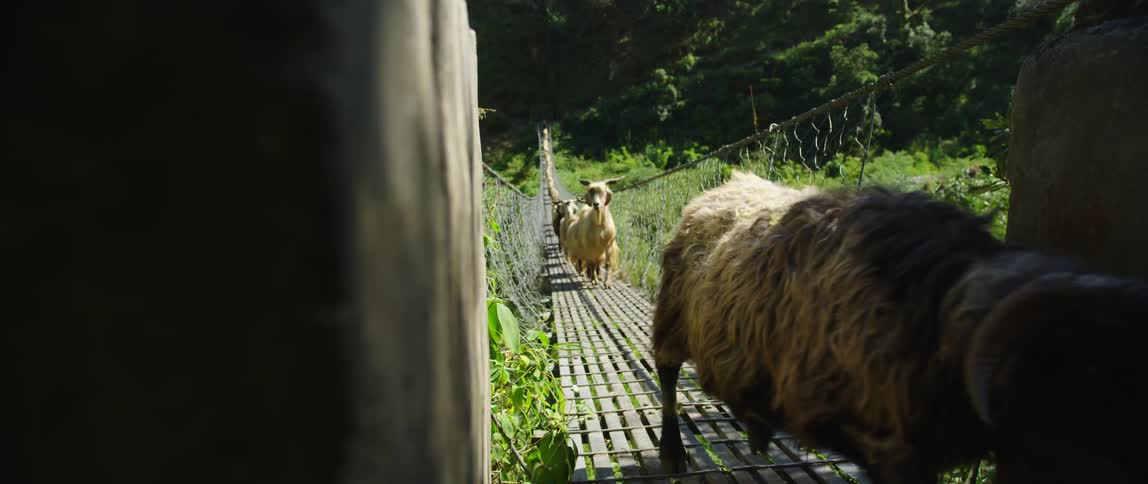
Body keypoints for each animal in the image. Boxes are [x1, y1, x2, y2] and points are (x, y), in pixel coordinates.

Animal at [652, 170, 1148, 484]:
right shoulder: (884, 440)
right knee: (668, 375)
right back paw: (674, 454)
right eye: (1087, 374)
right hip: (673, 316)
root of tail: (730, 182)